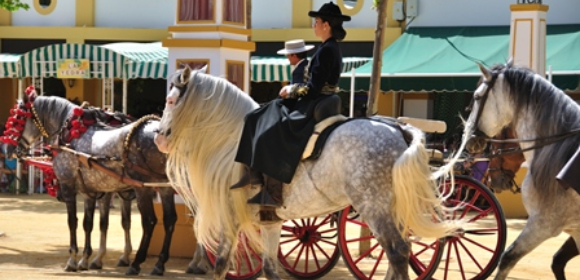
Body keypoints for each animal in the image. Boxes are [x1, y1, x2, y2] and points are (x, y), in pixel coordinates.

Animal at [154, 66, 458, 278]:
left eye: (169, 101)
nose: (158, 138)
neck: (233, 141)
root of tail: (398, 129)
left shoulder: (230, 218)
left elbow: (220, 265)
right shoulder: (270, 221)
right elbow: (270, 269)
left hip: (375, 207)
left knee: (397, 253)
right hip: (392, 209)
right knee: (401, 253)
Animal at [450, 60, 580, 278]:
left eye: (477, 97)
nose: (468, 139)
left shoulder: (543, 224)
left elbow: (507, 258)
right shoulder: (574, 229)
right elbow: (557, 261)